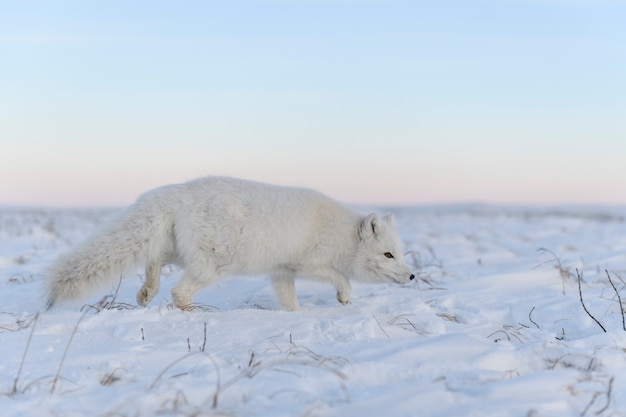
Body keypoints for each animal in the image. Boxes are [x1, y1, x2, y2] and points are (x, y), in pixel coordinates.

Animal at [47, 176, 414, 308]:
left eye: (400, 254)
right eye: (388, 254)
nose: (412, 275)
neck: (341, 234)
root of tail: (173, 192)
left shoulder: (281, 273)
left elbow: (290, 302)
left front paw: (295, 318)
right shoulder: (307, 264)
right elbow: (339, 278)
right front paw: (345, 297)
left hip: (183, 252)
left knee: (155, 261)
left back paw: (147, 293)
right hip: (213, 265)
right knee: (178, 292)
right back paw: (192, 312)